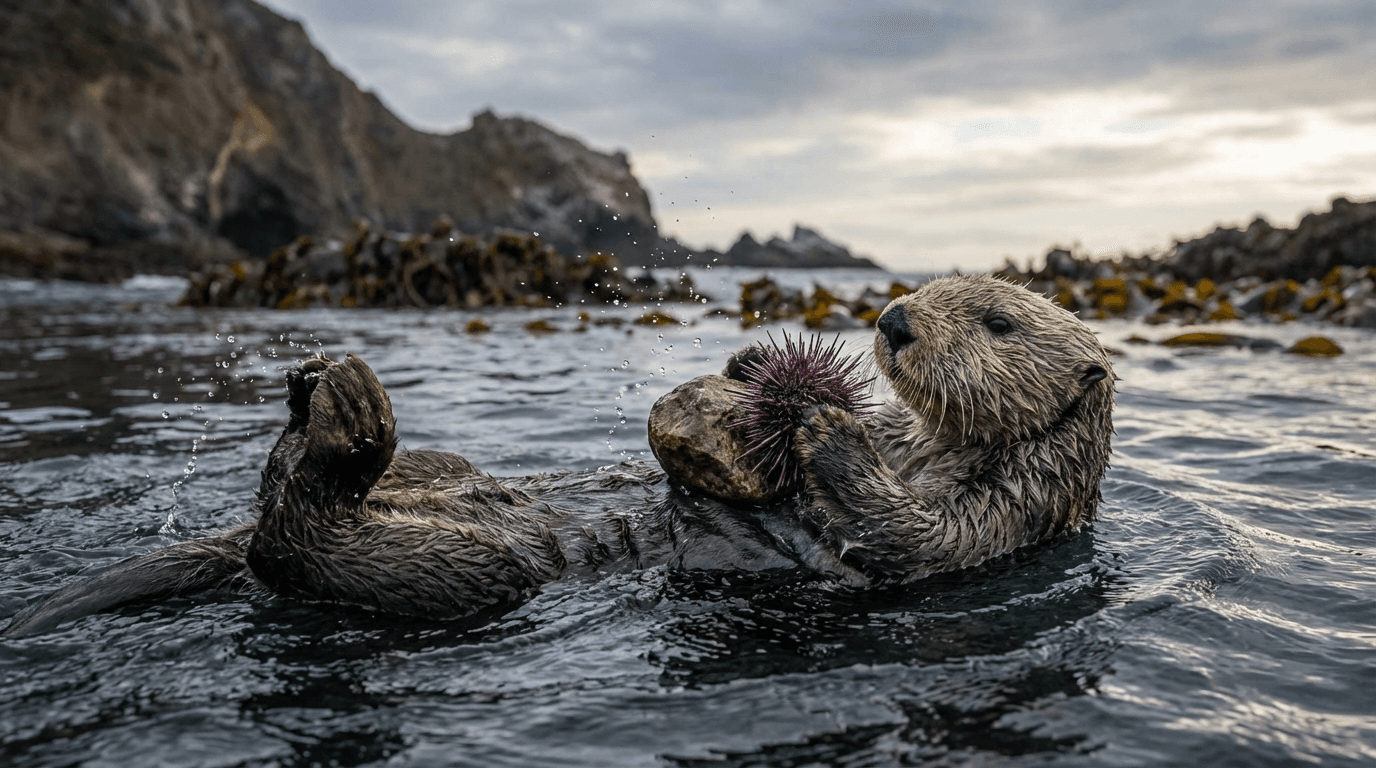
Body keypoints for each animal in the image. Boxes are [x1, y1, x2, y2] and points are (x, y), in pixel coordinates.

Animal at [3, 275, 1114, 636]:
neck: (920, 443)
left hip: (456, 575)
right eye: (930, 286)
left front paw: (823, 430)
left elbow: (905, 535)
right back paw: (315, 390)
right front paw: (754, 368)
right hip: (444, 472)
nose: (891, 320)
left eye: (996, 321)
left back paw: (342, 424)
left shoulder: (1003, 516)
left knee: (306, 544)